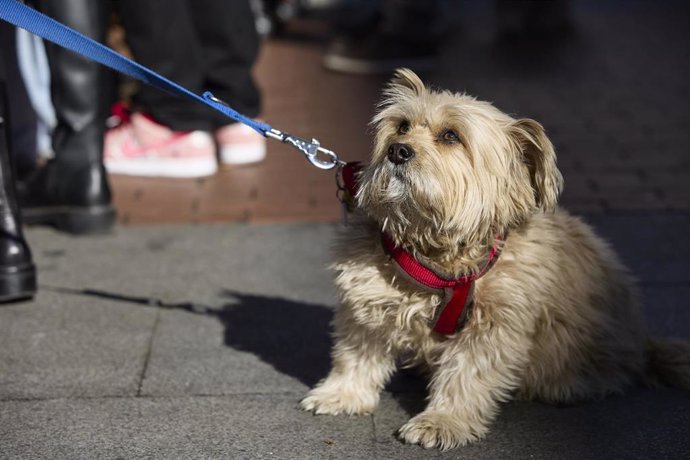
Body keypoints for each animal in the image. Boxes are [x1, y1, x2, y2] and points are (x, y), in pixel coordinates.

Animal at [300, 68, 688, 450]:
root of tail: (643, 346)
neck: (439, 255)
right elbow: (356, 354)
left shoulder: (493, 325)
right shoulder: (366, 298)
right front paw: (342, 394)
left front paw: (442, 421)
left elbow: (466, 376)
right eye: (401, 126)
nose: (397, 150)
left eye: (451, 136)